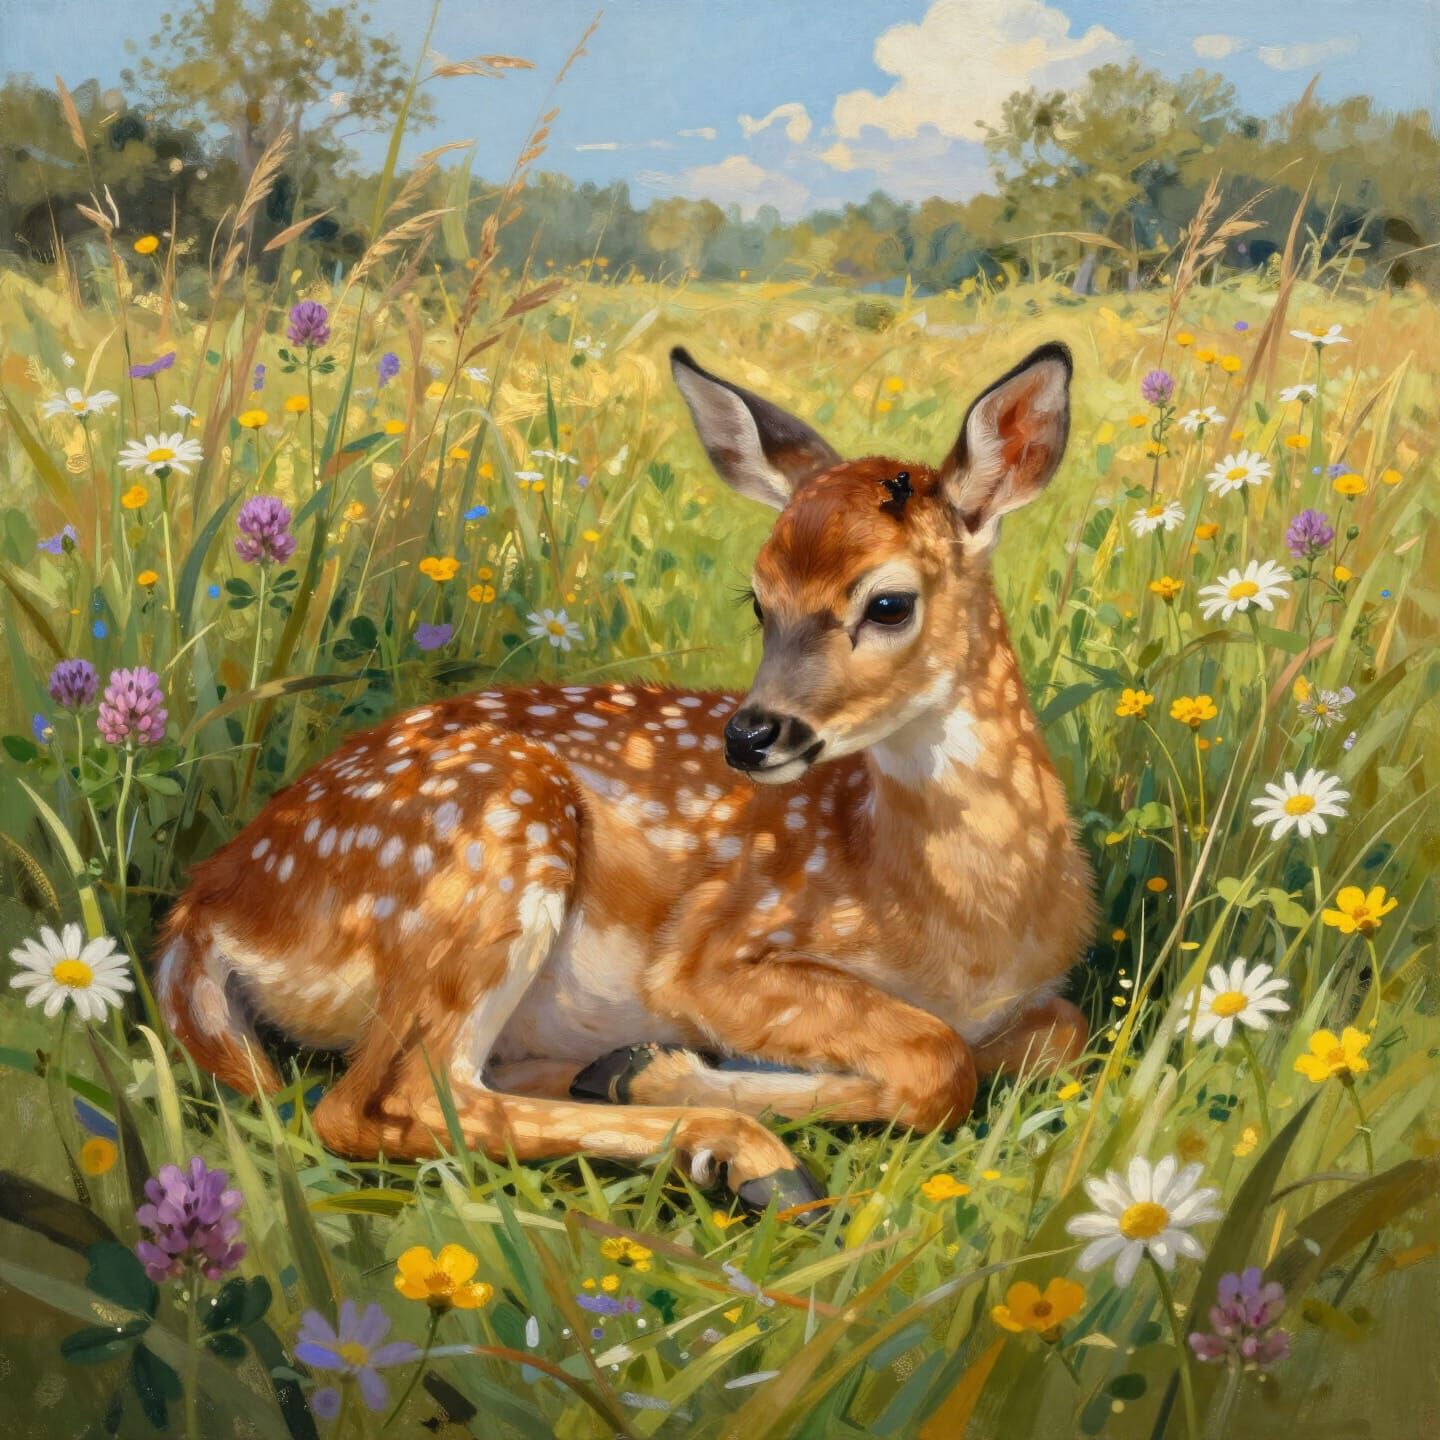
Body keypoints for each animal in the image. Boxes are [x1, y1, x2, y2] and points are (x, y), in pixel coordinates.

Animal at [156, 340, 1095, 1213]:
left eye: (890, 603)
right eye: (758, 600)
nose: (749, 735)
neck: (970, 926)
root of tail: (209, 902)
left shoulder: (1033, 1000)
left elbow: (1059, 1034)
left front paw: (651, 1067)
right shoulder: (714, 953)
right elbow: (938, 1062)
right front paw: (673, 1077)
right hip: (491, 837)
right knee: (388, 1100)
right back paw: (745, 1152)